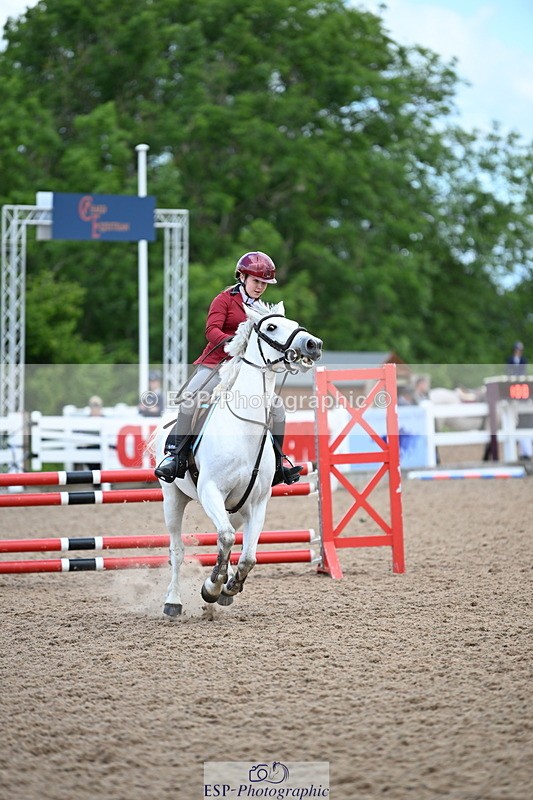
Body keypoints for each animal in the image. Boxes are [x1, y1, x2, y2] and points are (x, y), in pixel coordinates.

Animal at [151, 301, 323, 618]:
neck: (244, 429)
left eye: (294, 324)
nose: (313, 345)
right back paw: (174, 601)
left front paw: (228, 587)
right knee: (178, 550)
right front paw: (211, 587)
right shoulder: (210, 491)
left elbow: (248, 555)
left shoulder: (257, 503)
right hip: (172, 498)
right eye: (271, 327)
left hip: (234, 508)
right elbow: (227, 539)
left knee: (227, 537)